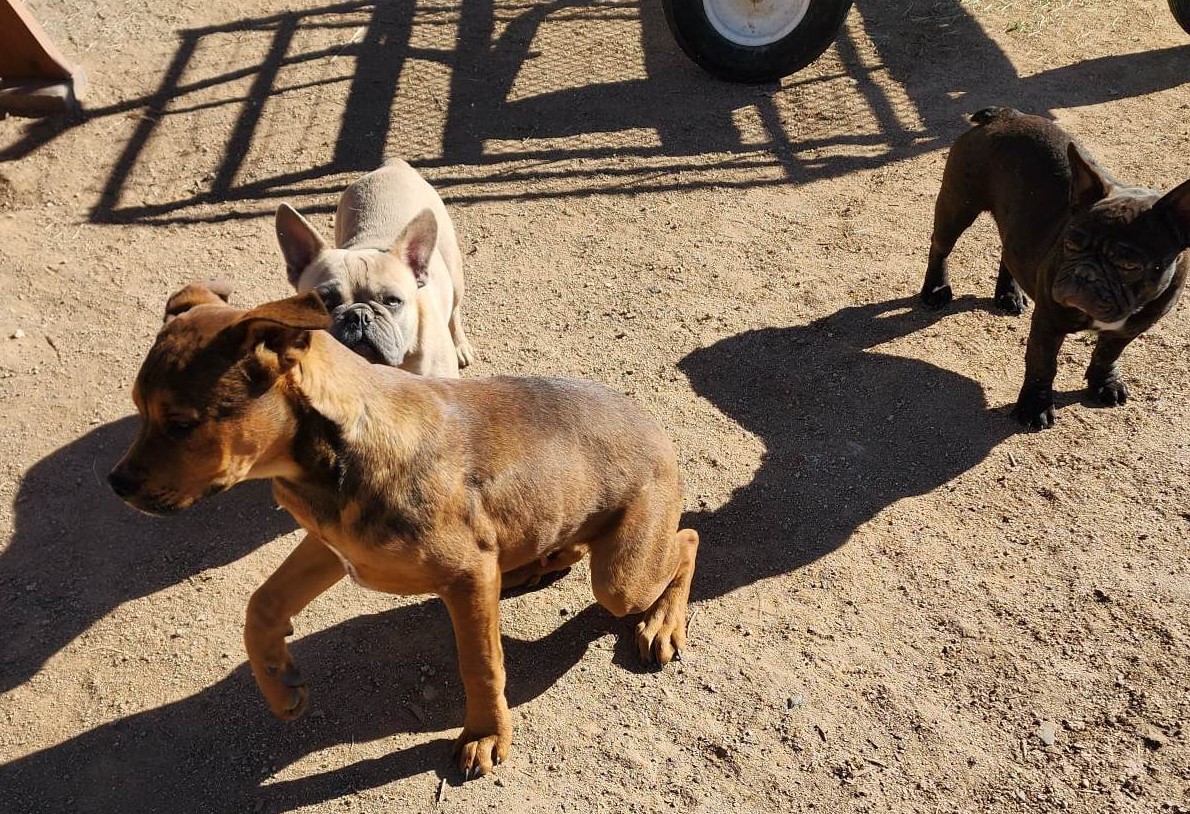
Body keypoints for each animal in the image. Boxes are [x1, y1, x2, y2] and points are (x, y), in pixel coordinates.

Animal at [108, 284, 699, 775]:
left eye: (181, 424)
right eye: (137, 408)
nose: (115, 484)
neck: (336, 448)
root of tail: (656, 427)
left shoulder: (465, 577)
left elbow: (481, 665)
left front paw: (485, 734)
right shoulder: (330, 545)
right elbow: (262, 604)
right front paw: (279, 684)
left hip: (622, 578)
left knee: (685, 542)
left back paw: (662, 624)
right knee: (570, 544)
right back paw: (534, 564)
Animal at [273, 158, 473, 376]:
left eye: (393, 301)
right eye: (324, 303)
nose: (359, 315)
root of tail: (394, 165)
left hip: (455, 277)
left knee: (454, 311)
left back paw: (461, 347)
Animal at [923, 106, 1185, 433]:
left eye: (1129, 265)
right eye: (1069, 243)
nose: (1085, 274)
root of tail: (1004, 114)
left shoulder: (1130, 328)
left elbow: (1107, 353)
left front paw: (1104, 383)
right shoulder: (1048, 322)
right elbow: (1042, 364)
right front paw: (1035, 408)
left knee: (1009, 252)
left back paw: (1009, 295)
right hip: (958, 204)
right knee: (941, 247)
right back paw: (935, 290)